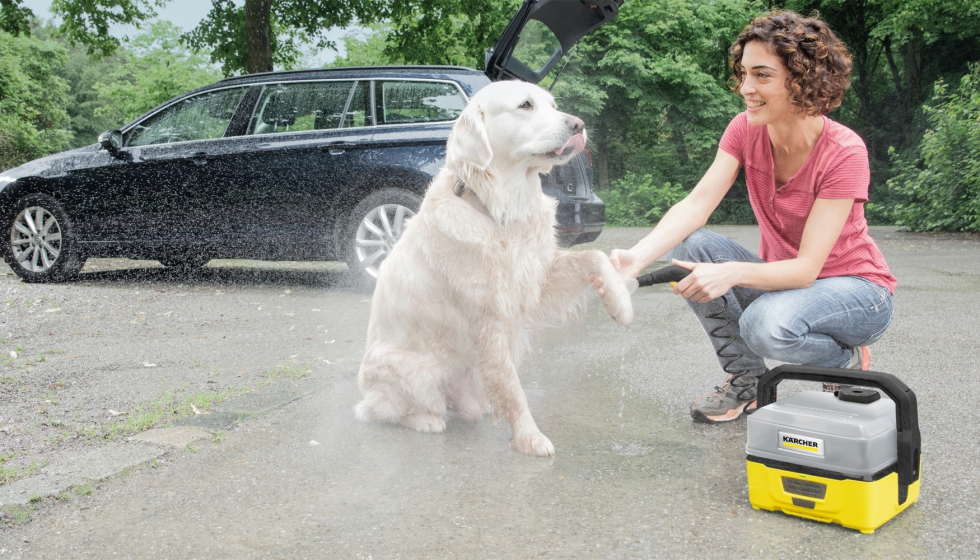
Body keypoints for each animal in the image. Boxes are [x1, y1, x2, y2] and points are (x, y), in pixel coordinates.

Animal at [356, 80, 632, 456]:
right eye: (525, 105)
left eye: (552, 105)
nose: (579, 125)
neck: (499, 209)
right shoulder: (488, 317)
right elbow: (514, 389)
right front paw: (529, 437)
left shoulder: (537, 277)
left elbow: (596, 257)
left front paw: (621, 303)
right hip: (411, 372)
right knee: (381, 411)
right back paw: (426, 420)